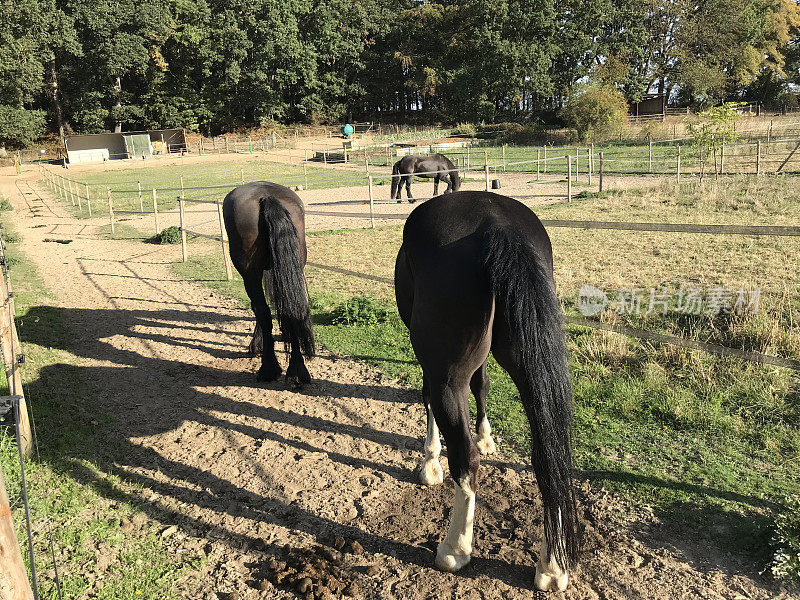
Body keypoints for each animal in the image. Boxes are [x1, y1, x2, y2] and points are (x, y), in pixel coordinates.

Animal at [225, 180, 316, 384]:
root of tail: (267, 196)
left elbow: (259, 309)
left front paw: (257, 346)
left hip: (249, 273)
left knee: (263, 311)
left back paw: (269, 368)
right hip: (294, 265)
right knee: (291, 310)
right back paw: (297, 371)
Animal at [396, 191, 580, 592]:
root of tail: (496, 225)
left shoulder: (433, 366)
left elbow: (427, 398)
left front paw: (430, 463)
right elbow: (482, 384)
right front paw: (486, 437)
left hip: (448, 376)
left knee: (465, 459)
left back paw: (454, 549)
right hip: (528, 360)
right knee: (547, 456)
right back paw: (552, 566)